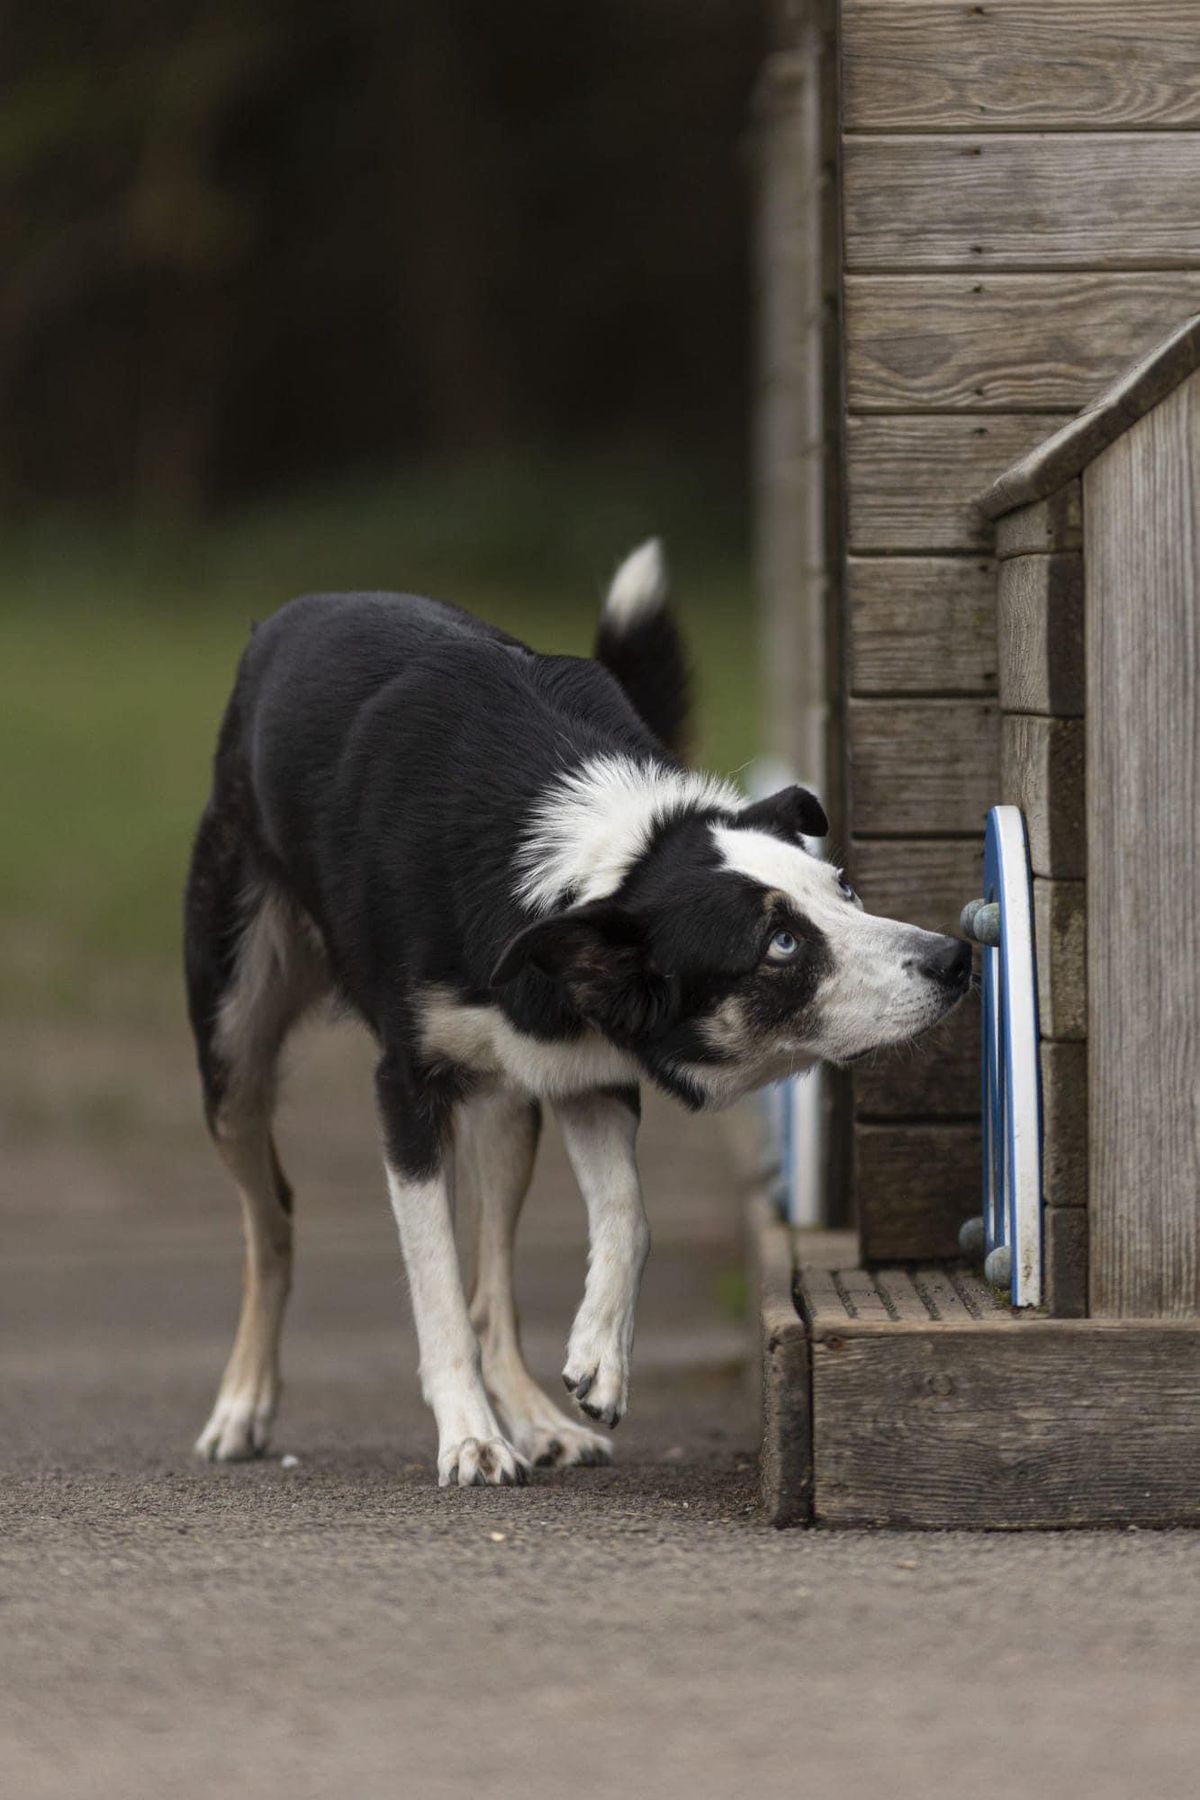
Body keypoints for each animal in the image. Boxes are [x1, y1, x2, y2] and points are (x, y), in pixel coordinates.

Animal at [188, 540, 978, 1483]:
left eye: (844, 889)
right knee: (271, 1220)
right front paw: (468, 1436)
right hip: (233, 1048)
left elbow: (625, 1217)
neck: (587, 864)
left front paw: (596, 1363)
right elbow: (434, 1281)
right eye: (780, 943)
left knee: (492, 1278)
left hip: (510, 1102)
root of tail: (284, 620)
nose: (955, 960)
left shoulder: (585, 1070)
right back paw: (244, 1404)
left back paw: (534, 1418)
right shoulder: (406, 1089)